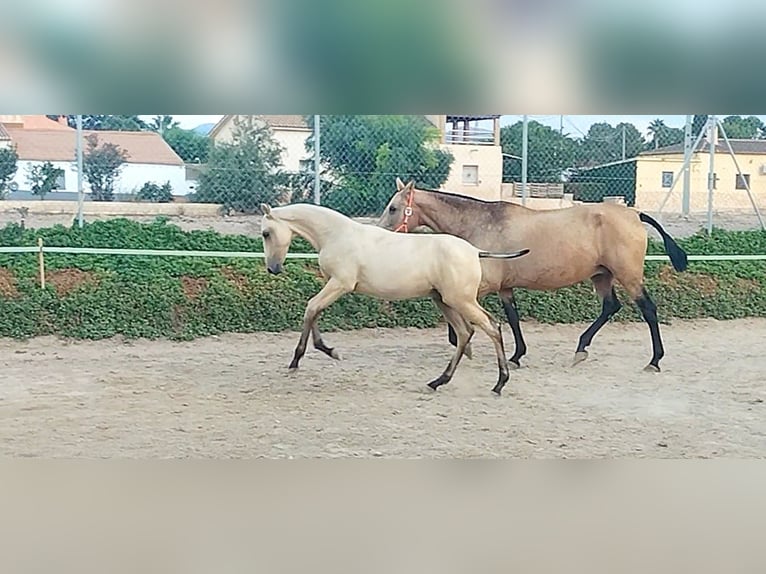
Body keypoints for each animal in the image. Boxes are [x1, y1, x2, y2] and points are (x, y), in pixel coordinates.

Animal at [260, 202, 532, 396]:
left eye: (265, 233)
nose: (273, 269)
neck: (336, 234)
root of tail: (475, 251)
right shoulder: (332, 284)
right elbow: (314, 310)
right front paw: (327, 350)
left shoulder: (340, 284)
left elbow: (310, 308)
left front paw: (300, 359)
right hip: (444, 300)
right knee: (465, 333)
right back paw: (438, 381)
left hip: (460, 300)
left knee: (491, 327)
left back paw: (499, 383)